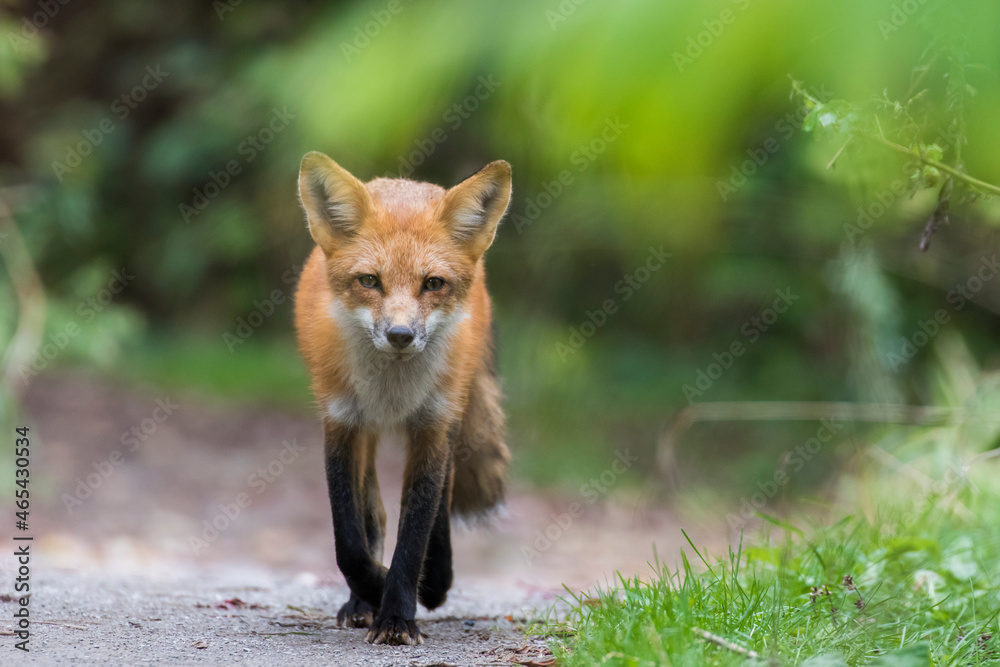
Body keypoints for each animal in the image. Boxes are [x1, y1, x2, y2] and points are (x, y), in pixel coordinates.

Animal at [293, 152, 512, 645]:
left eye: (433, 284)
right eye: (369, 281)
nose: (400, 334)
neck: (392, 391)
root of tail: (404, 183)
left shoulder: (433, 426)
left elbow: (416, 529)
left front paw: (397, 612)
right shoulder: (342, 423)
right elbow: (349, 541)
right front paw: (374, 590)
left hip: (452, 415)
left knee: (442, 505)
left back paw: (435, 581)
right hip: (368, 433)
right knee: (372, 513)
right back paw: (362, 601)